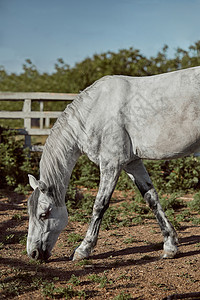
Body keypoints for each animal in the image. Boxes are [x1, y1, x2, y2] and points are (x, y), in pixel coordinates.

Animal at [27, 66, 200, 260]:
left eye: (44, 214)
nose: (33, 253)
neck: (93, 111)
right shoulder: (132, 163)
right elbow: (151, 199)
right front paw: (170, 246)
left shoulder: (111, 164)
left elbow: (99, 205)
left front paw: (83, 249)